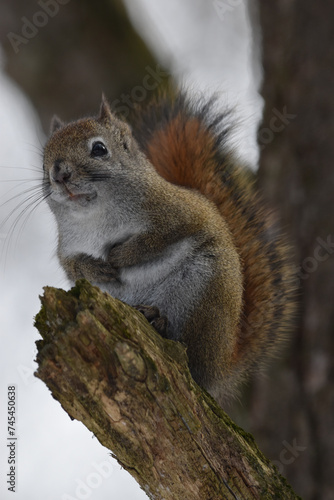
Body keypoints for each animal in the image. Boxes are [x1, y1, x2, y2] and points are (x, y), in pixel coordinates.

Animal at [42, 93, 294, 406]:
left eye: (99, 149)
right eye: (45, 158)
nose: (59, 174)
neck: (95, 217)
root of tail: (222, 366)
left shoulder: (177, 214)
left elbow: (156, 240)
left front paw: (120, 255)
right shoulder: (67, 246)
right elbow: (72, 266)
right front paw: (94, 267)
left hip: (202, 295)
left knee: (192, 356)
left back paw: (160, 323)